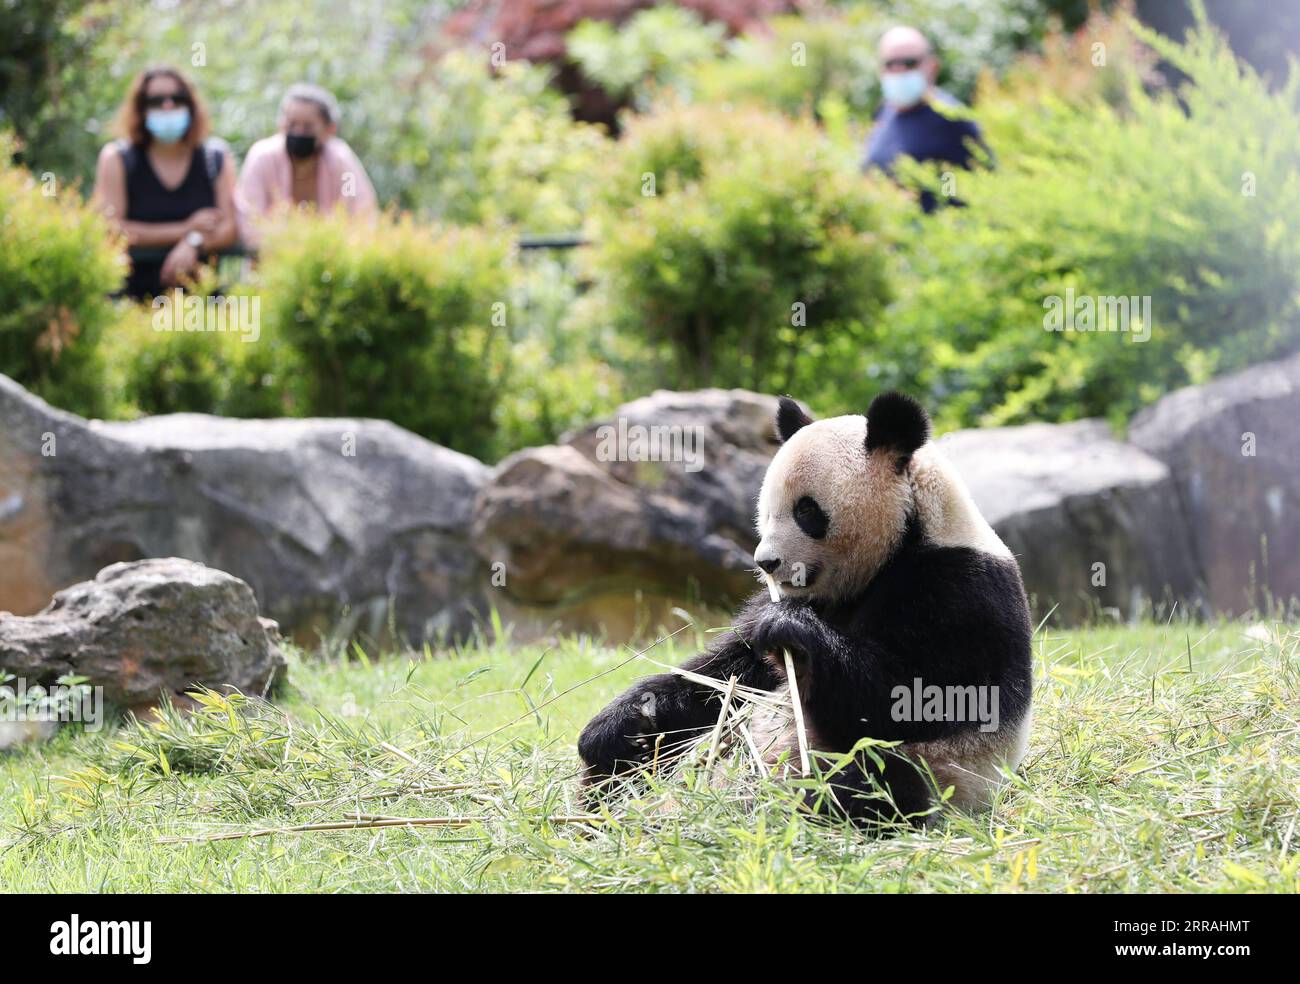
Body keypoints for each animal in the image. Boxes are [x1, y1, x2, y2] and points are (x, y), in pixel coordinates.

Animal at [579, 389, 1034, 821]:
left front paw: (790, 629)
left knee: (875, 781)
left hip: (945, 773)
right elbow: (721, 678)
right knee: (629, 767)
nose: (766, 562)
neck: (903, 541)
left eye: (806, 511)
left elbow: (916, 698)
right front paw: (618, 723)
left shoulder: (962, 590)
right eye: (765, 512)